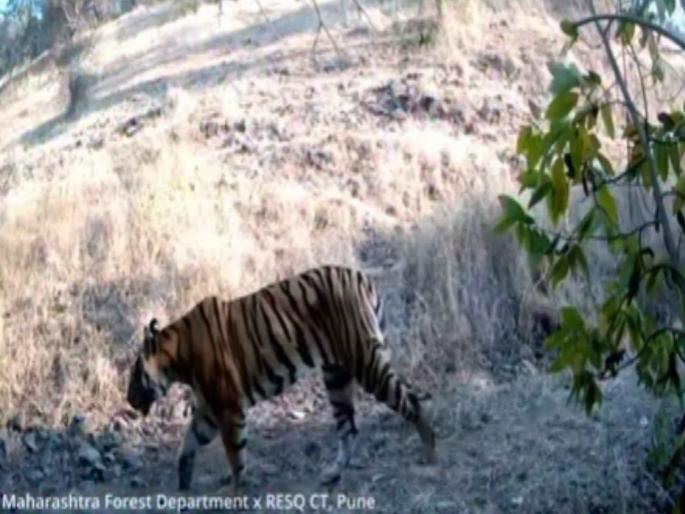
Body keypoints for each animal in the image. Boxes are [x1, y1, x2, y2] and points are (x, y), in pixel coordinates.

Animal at [126, 265, 436, 491]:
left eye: (135, 375)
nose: (128, 399)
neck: (178, 357)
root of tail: (362, 277)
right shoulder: (209, 409)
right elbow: (189, 442)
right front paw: (183, 483)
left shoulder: (228, 406)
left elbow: (235, 454)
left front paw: (236, 491)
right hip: (337, 376)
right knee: (349, 428)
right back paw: (332, 475)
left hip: (366, 363)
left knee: (410, 402)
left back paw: (429, 453)